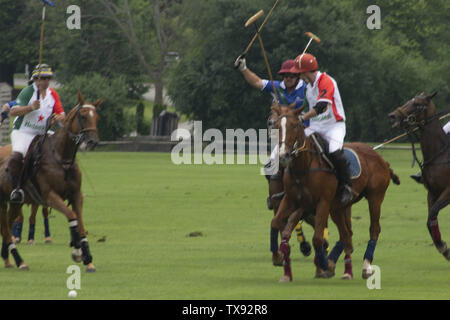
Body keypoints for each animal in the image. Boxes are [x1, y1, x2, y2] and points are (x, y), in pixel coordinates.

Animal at [0, 91, 101, 272]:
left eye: (96, 117)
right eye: (82, 116)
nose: (92, 142)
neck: (61, 158)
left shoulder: (76, 195)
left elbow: (81, 223)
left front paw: (88, 259)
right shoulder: (49, 196)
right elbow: (72, 216)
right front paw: (77, 251)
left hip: (14, 202)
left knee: (6, 226)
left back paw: (9, 258)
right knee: (5, 227)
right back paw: (20, 260)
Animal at [268, 105, 400, 280]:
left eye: (295, 125)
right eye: (276, 126)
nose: (283, 156)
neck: (304, 167)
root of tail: (382, 159)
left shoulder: (322, 202)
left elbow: (318, 237)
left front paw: (323, 265)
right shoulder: (291, 200)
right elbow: (277, 223)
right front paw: (278, 257)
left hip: (375, 198)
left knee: (374, 229)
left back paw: (364, 266)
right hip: (338, 207)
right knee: (346, 234)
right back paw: (342, 267)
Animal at [386, 92, 450, 260]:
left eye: (417, 104)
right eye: (410, 100)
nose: (392, 116)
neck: (439, 154)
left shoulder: (448, 191)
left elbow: (432, 213)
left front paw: (443, 248)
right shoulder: (432, 192)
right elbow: (430, 219)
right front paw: (443, 248)